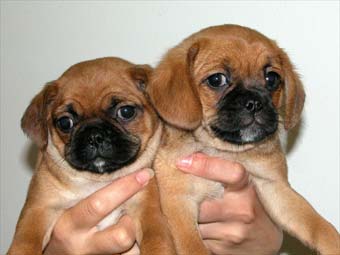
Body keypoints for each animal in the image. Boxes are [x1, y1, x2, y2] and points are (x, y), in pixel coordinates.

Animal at [8, 57, 175, 255]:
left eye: (126, 112)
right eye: (65, 123)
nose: (94, 135)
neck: (97, 181)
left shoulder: (147, 210)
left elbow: (157, 240)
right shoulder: (38, 209)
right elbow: (24, 242)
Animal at [147, 24, 338, 255]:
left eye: (272, 79)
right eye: (216, 79)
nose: (254, 103)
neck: (225, 152)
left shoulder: (275, 187)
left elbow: (315, 223)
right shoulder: (178, 204)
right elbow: (194, 247)